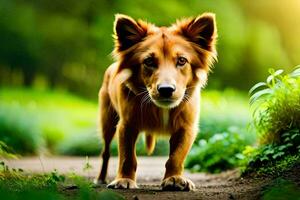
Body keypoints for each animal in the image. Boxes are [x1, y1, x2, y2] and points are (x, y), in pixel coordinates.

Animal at [95, 12, 217, 191]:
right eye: (149, 61)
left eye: (182, 60)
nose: (166, 89)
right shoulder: (126, 125)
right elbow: (127, 157)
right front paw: (124, 179)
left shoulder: (186, 128)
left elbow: (176, 157)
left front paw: (174, 179)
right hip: (108, 122)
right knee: (105, 153)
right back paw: (100, 178)